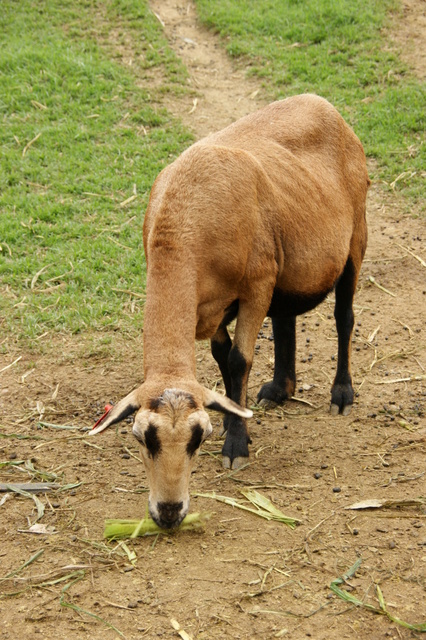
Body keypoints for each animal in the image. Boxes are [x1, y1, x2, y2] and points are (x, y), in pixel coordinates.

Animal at [90, 92, 370, 528]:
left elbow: (239, 361)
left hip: (354, 237)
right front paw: (232, 417)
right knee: (286, 319)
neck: (182, 226)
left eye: (196, 439)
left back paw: (342, 393)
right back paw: (280, 389)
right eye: (141, 438)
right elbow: (222, 357)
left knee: (344, 318)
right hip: (286, 262)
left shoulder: (255, 285)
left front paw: (236, 444)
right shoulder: (213, 306)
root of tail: (322, 103)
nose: (169, 513)